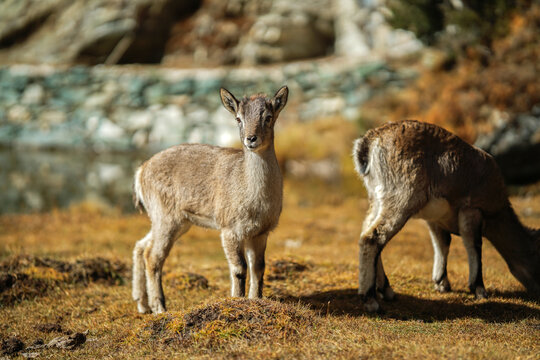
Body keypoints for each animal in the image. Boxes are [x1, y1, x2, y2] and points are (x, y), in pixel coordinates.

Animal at [132, 86, 288, 314]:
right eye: (238, 118)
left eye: (268, 117)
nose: (251, 139)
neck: (254, 198)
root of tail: (141, 171)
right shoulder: (230, 229)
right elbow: (239, 268)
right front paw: (236, 301)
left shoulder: (260, 232)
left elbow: (258, 267)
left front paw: (255, 300)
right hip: (166, 218)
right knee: (153, 256)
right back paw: (159, 307)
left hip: (175, 221)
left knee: (142, 246)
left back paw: (142, 304)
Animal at [352, 119, 540, 310]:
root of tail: (368, 143)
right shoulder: (471, 209)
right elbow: (474, 244)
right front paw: (479, 289)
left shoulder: (435, 219)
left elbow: (443, 243)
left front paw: (442, 283)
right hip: (402, 199)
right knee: (372, 238)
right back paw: (371, 300)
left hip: (377, 199)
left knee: (367, 232)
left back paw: (386, 290)